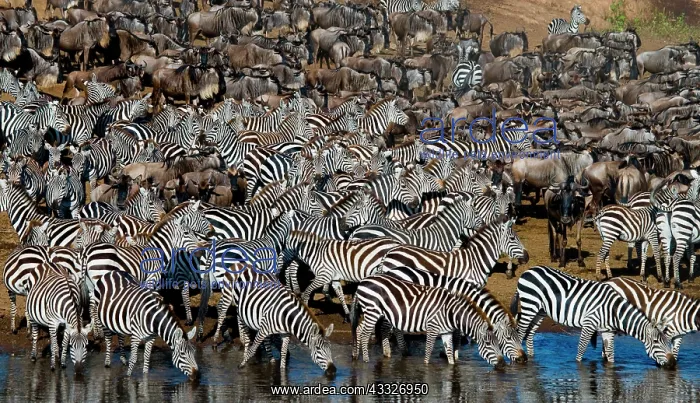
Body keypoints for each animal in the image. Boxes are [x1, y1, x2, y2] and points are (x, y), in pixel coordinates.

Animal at [350, 274, 505, 367]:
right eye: (488, 344)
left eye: (499, 343)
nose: (503, 364)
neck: (450, 312)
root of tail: (362, 282)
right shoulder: (432, 328)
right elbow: (429, 350)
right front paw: (425, 366)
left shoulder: (446, 332)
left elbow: (450, 353)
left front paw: (451, 367)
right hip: (372, 311)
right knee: (365, 334)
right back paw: (366, 360)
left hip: (372, 312)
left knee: (359, 329)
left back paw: (356, 356)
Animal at [383, 266, 527, 363]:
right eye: (508, 338)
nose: (524, 359)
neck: (466, 294)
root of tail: (390, 271)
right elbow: (456, 336)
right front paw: (452, 355)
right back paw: (389, 353)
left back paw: (404, 351)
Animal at [510, 265, 675, 367]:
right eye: (656, 342)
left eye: (668, 342)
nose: (673, 363)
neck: (613, 310)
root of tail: (528, 270)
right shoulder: (589, 324)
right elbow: (581, 349)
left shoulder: (608, 330)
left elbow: (610, 355)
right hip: (530, 304)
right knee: (521, 331)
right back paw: (519, 358)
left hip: (540, 310)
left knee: (530, 333)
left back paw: (531, 358)